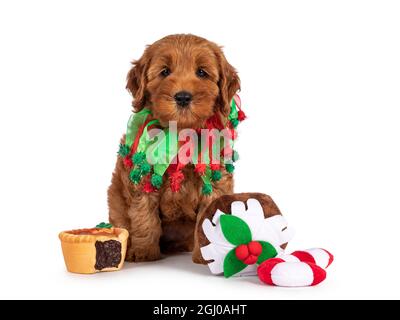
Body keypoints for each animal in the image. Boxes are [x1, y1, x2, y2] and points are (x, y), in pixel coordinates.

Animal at [108, 33, 239, 262]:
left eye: (202, 72)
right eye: (165, 72)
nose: (183, 97)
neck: (180, 133)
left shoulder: (214, 181)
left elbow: (208, 220)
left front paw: (205, 257)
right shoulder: (144, 177)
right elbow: (144, 216)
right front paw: (144, 252)